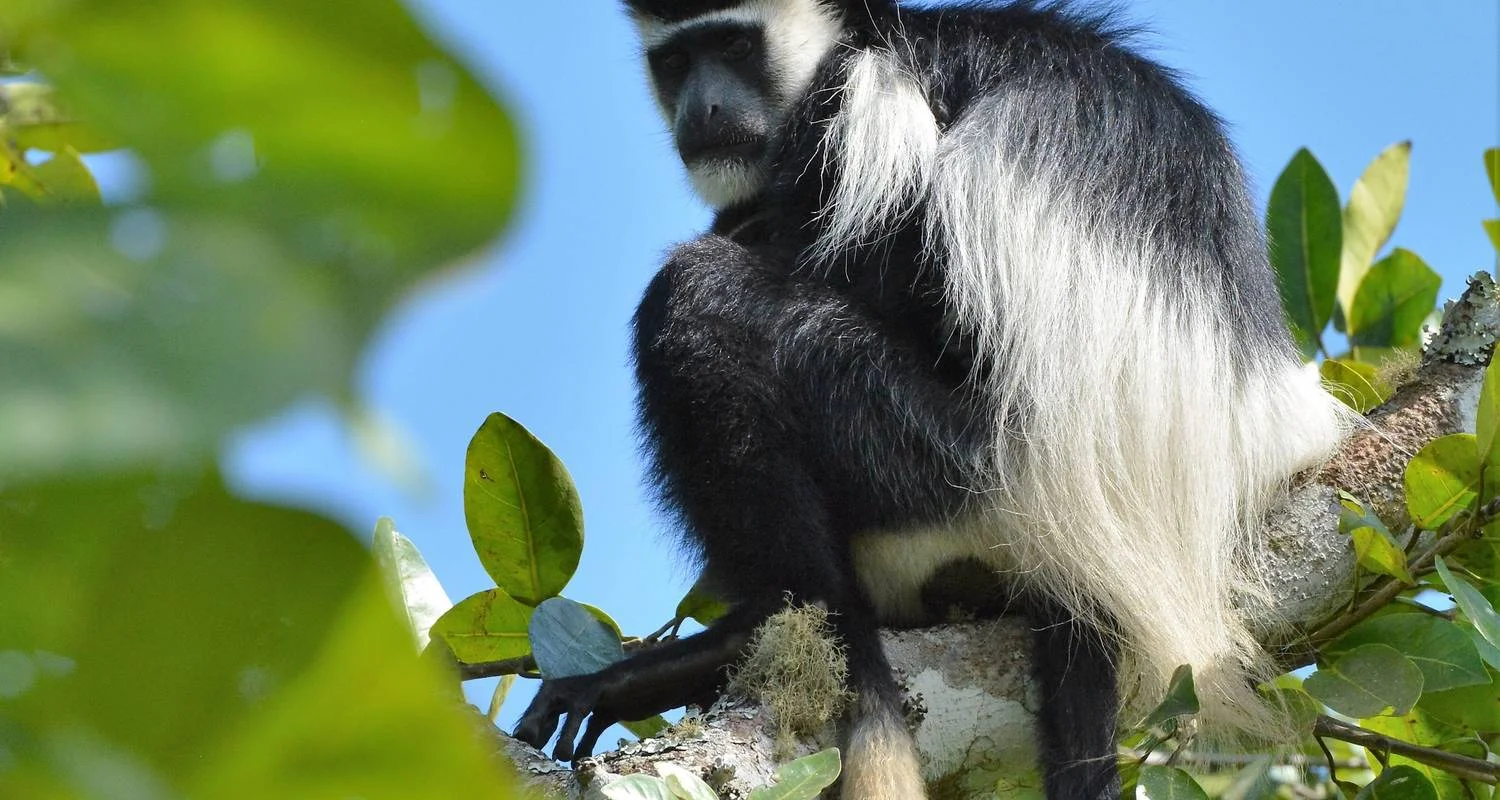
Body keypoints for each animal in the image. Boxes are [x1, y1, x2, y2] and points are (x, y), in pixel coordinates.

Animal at [515, 2, 1353, 797]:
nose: (706, 109)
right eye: (676, 61)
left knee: (701, 297)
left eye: (734, 47)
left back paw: (753, 630)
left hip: (950, 469)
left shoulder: (859, 100)